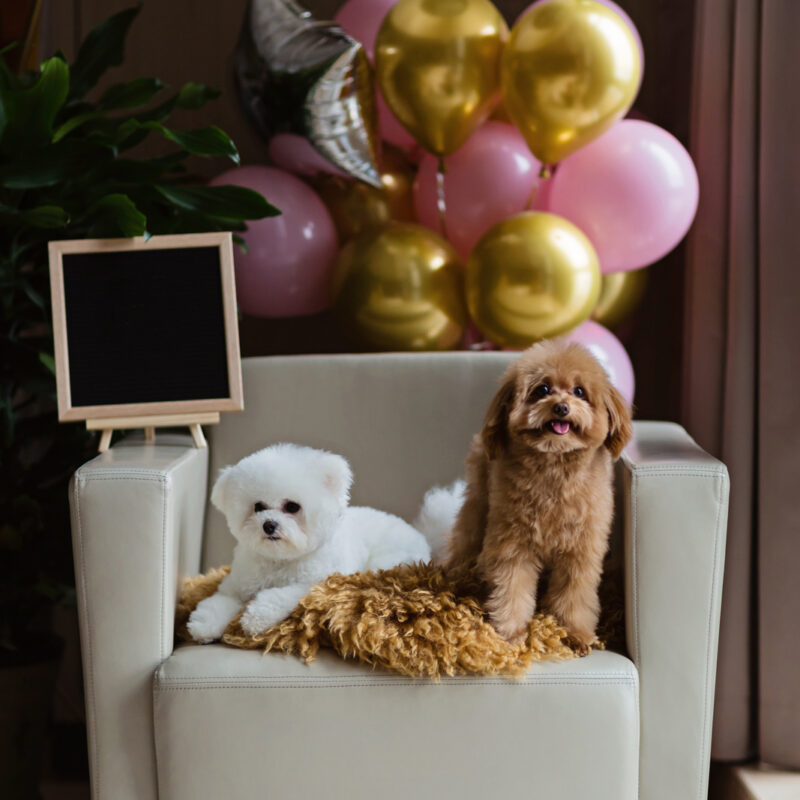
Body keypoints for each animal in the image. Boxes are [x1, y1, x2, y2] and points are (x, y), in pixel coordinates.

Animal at [187, 444, 432, 644]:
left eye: (292, 506)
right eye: (258, 507)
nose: (269, 525)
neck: (280, 560)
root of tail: (420, 535)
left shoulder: (312, 585)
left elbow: (278, 596)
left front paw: (255, 617)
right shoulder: (236, 586)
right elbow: (218, 602)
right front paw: (203, 625)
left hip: (387, 561)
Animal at [450, 340, 632, 648]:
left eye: (579, 391)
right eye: (543, 389)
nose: (561, 407)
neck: (554, 468)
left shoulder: (581, 549)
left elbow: (575, 594)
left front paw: (575, 632)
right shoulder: (513, 543)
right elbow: (512, 587)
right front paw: (511, 632)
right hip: (479, 502)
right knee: (466, 536)